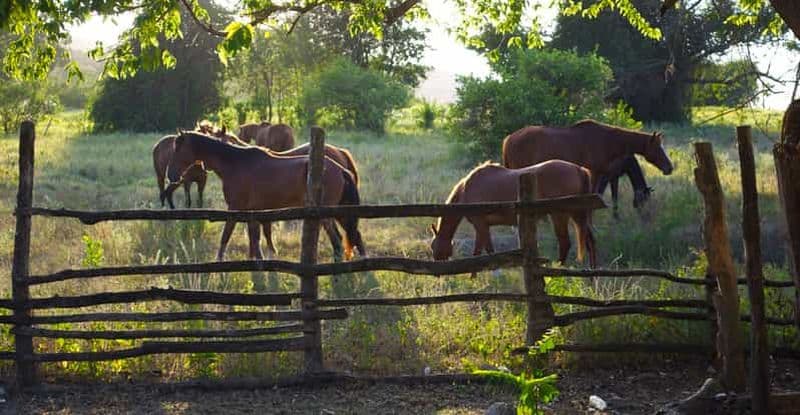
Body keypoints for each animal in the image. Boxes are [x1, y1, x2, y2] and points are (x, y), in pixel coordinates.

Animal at [165, 131, 366, 261]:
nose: (171, 175)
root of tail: (340, 169)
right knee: (352, 237)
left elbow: (226, 237)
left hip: (328, 215)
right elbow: (256, 239)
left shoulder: (235, 208)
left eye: (178, 149)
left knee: (338, 242)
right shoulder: (253, 212)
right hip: (339, 212)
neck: (236, 164)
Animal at [430, 160, 597, 268]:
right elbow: (477, 252)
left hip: (560, 215)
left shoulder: (480, 225)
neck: (467, 190)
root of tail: (579, 169)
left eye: (433, 247)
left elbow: (488, 251)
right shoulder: (482, 227)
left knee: (565, 243)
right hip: (577, 215)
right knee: (590, 241)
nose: (437, 266)